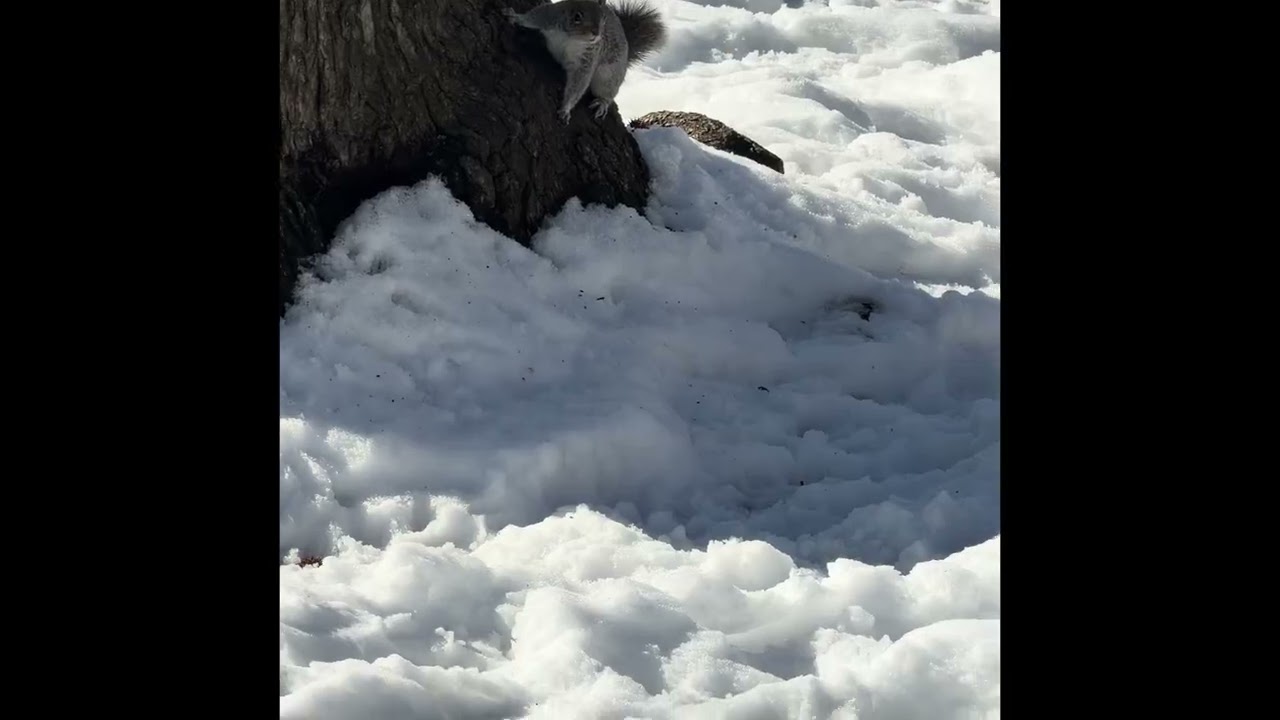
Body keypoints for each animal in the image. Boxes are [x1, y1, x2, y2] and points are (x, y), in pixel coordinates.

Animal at [505, 0, 668, 124]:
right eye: (577, 17)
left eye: (603, 19)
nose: (596, 33)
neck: (573, 37)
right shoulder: (550, 16)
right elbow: (532, 17)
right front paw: (514, 16)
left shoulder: (588, 59)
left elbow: (579, 83)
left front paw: (565, 108)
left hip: (608, 76)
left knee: (608, 92)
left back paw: (602, 102)